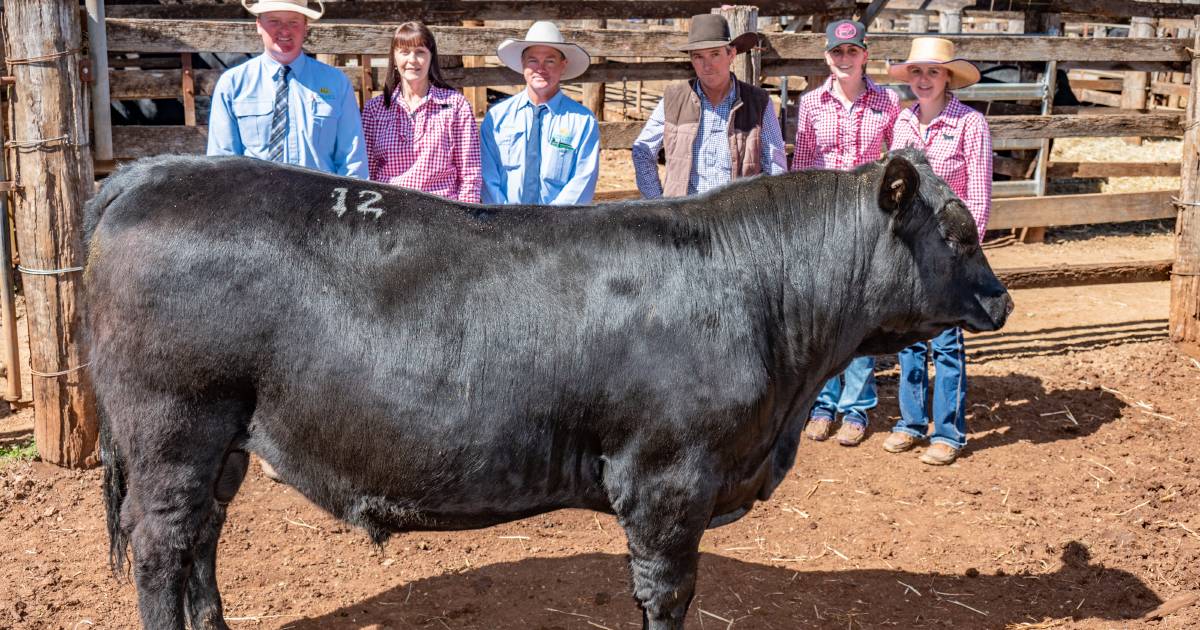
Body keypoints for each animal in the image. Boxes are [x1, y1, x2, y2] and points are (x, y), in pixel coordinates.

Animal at [84, 150, 1008, 624]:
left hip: (224, 439)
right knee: (162, 547)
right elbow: (666, 593)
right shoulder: (668, 479)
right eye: (960, 231)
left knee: (201, 539)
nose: (1001, 297)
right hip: (172, 425)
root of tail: (148, 174)